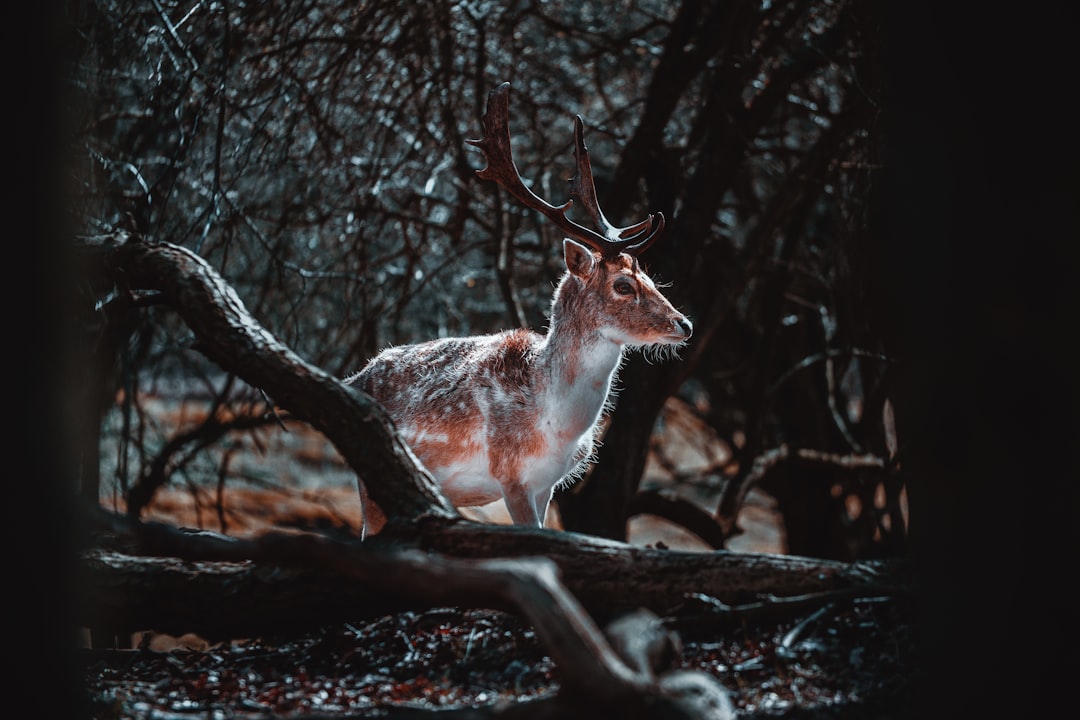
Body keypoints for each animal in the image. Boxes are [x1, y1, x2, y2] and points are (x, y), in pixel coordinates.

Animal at [345, 83, 691, 528]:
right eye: (623, 285)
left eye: (650, 277)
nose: (684, 324)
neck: (556, 426)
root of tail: (354, 378)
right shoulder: (512, 477)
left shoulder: (548, 487)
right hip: (369, 482)